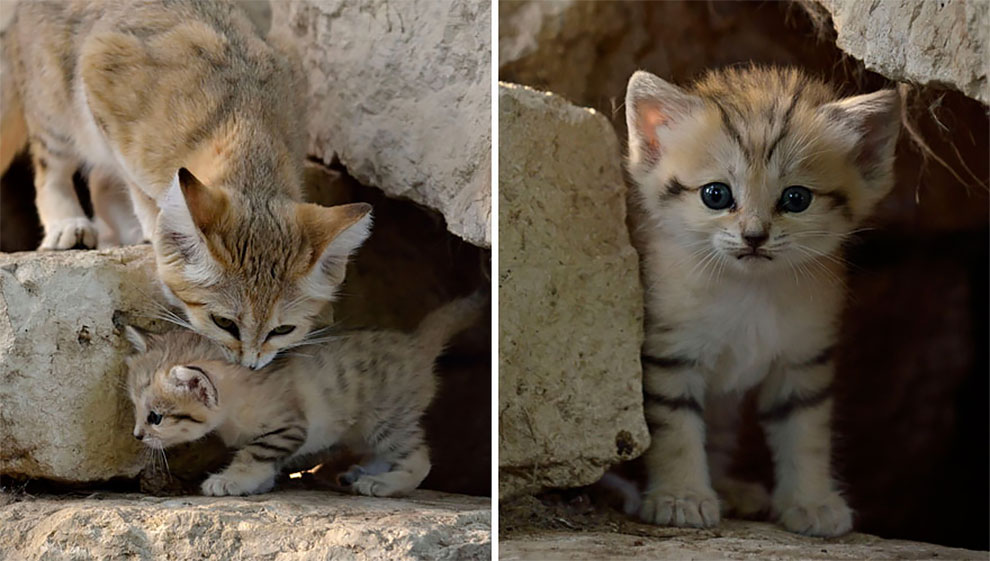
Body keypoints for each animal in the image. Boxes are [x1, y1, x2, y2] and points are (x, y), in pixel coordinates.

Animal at [0, 2, 372, 370]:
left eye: (282, 330)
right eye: (224, 322)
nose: (249, 365)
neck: (244, 122)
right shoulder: (100, 73)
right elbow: (138, 188)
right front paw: (158, 231)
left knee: (98, 180)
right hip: (54, 102)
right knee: (53, 168)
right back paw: (69, 225)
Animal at [127, 294, 484, 494]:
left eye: (155, 417)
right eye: (135, 409)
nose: (137, 435)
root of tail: (415, 344)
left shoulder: (287, 428)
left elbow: (253, 455)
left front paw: (231, 481)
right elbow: (264, 462)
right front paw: (258, 484)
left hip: (386, 421)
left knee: (420, 460)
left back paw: (383, 485)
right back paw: (362, 473)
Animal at [632, 68, 904, 536]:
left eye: (796, 199)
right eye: (716, 195)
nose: (754, 236)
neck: (750, 290)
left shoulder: (803, 361)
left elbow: (805, 435)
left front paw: (811, 501)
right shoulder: (669, 354)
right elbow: (676, 432)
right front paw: (681, 496)